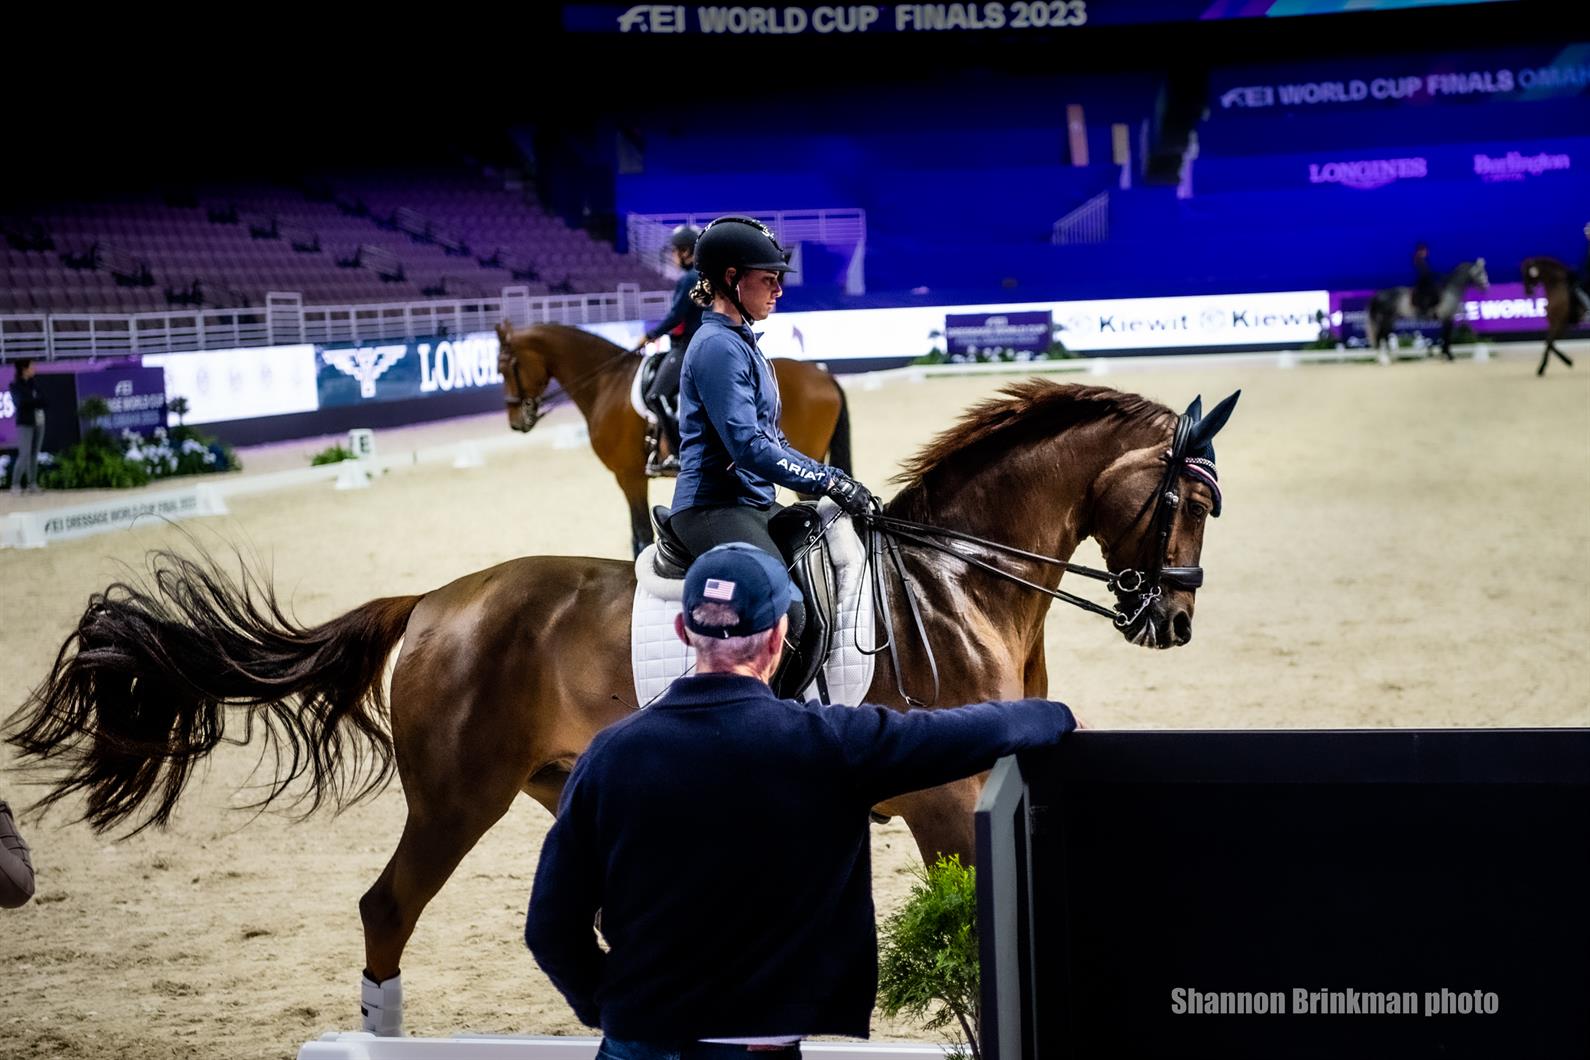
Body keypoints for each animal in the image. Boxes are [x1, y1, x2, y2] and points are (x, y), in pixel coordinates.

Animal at [6, 379, 1233, 1036]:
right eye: (1190, 499)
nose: (1174, 620)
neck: (951, 581)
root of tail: (435, 601)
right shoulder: (942, 803)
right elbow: (965, 932)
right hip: (456, 800)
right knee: (386, 910)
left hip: (562, 789)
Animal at [496, 321, 852, 556]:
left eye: (505, 368)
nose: (515, 423)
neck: (606, 383)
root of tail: (824, 376)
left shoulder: (629, 476)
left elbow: (641, 535)